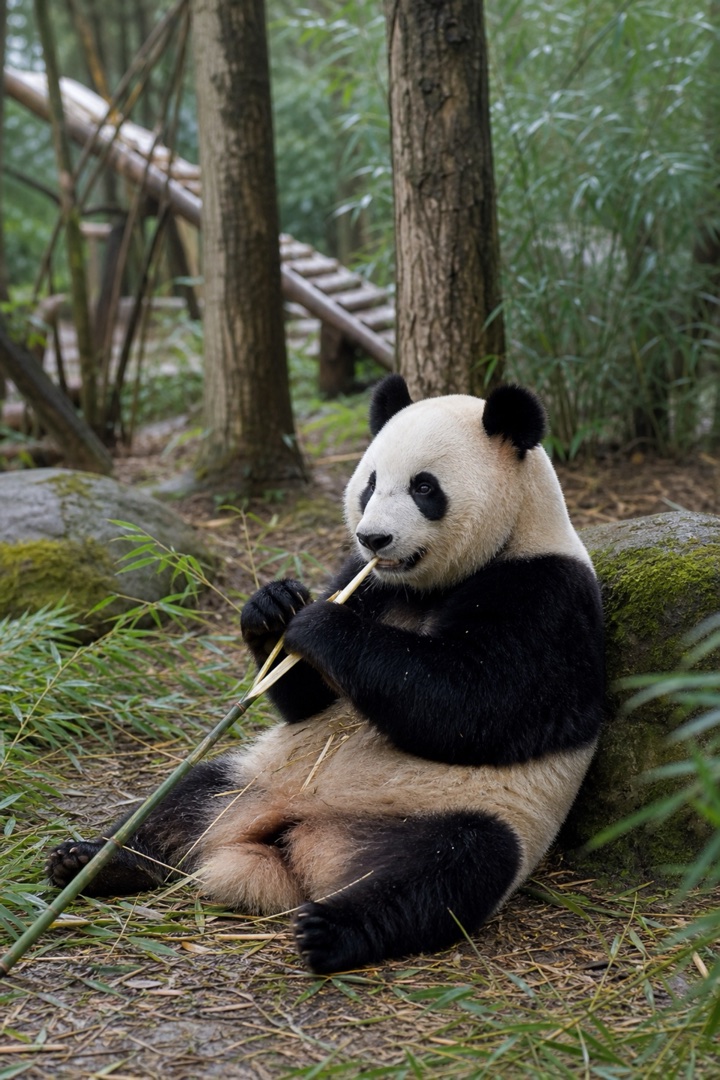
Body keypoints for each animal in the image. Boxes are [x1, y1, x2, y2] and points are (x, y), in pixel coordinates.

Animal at [47, 376, 605, 975]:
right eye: (370, 483)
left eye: (424, 487)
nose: (374, 539)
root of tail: (297, 835)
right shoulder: (367, 581)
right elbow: (306, 701)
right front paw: (274, 606)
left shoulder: (544, 594)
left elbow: (476, 705)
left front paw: (319, 622)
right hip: (252, 777)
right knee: (181, 801)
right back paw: (91, 861)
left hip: (458, 815)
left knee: (444, 871)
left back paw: (329, 929)